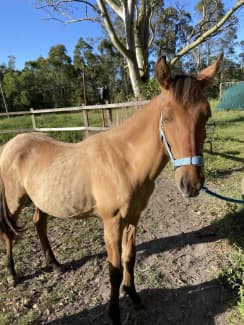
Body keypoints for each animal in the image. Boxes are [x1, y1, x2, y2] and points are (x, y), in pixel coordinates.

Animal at [0, 54, 223, 322]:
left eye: (206, 115)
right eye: (167, 117)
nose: (191, 183)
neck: (124, 161)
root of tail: (10, 144)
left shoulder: (133, 219)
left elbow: (130, 258)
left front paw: (134, 295)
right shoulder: (112, 223)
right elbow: (114, 270)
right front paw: (115, 314)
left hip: (41, 201)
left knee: (39, 225)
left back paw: (54, 265)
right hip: (14, 201)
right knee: (8, 233)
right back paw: (12, 275)